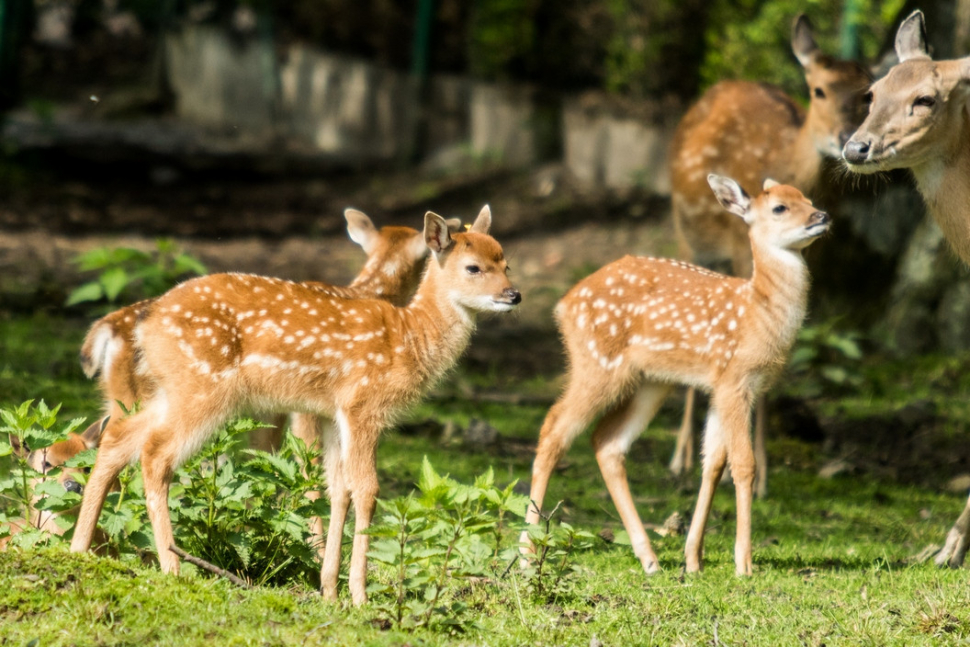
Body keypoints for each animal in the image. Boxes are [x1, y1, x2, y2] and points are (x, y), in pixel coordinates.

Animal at [71, 206, 520, 604]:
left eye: (506, 262)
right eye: (473, 268)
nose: (513, 295)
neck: (409, 339)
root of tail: (147, 320)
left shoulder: (332, 413)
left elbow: (337, 489)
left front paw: (330, 591)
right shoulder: (363, 405)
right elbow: (367, 490)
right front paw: (360, 596)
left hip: (168, 391)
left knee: (116, 440)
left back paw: (77, 549)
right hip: (203, 388)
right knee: (155, 454)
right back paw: (172, 566)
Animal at [520, 176, 828, 576]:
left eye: (808, 198)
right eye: (779, 207)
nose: (821, 216)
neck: (757, 311)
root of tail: (563, 304)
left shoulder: (721, 385)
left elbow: (712, 463)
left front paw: (693, 559)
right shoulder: (735, 380)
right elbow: (744, 465)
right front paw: (744, 563)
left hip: (652, 381)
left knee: (608, 441)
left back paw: (649, 558)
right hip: (597, 363)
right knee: (554, 428)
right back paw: (526, 553)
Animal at [664, 12, 868, 496]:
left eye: (868, 92)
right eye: (818, 89)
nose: (846, 138)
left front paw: (764, 475)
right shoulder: (741, 250)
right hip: (685, 232)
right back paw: (679, 457)